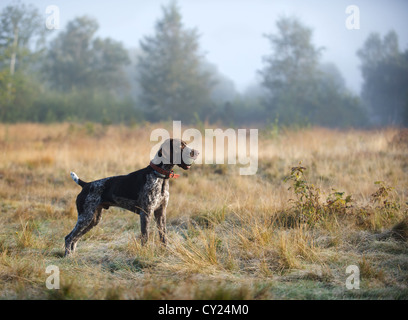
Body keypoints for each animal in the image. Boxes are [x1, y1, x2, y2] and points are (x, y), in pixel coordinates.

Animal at [64, 139, 198, 256]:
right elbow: (145, 237)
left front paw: (166, 252)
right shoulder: (146, 213)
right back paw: (68, 257)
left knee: (75, 239)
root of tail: (86, 184)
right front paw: (145, 254)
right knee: (69, 238)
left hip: (93, 219)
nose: (197, 152)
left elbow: (163, 236)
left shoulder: (161, 212)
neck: (159, 176)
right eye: (181, 145)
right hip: (85, 217)